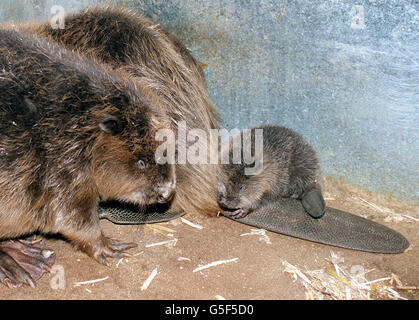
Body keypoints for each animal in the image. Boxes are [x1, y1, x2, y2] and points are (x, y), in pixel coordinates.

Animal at [0, 28, 176, 288]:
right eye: (141, 162)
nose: (167, 193)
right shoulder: (61, 164)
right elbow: (72, 216)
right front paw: (110, 247)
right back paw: (22, 261)